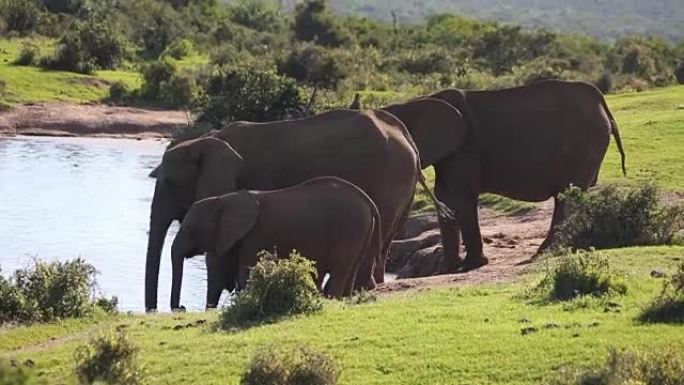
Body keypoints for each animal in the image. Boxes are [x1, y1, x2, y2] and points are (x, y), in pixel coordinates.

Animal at [166, 176, 380, 308]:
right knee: (350, 268)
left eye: (193, 230)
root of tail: (367, 200)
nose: (182, 308)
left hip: (351, 227)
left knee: (340, 269)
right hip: (361, 230)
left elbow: (245, 274)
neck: (224, 199)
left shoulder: (253, 237)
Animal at [382, 79, 628, 270]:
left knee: (566, 195)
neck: (414, 103)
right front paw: (447, 269)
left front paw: (472, 265)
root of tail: (602, 102)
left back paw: (544, 253)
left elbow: (459, 196)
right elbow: (445, 196)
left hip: (584, 143)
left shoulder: (464, 149)